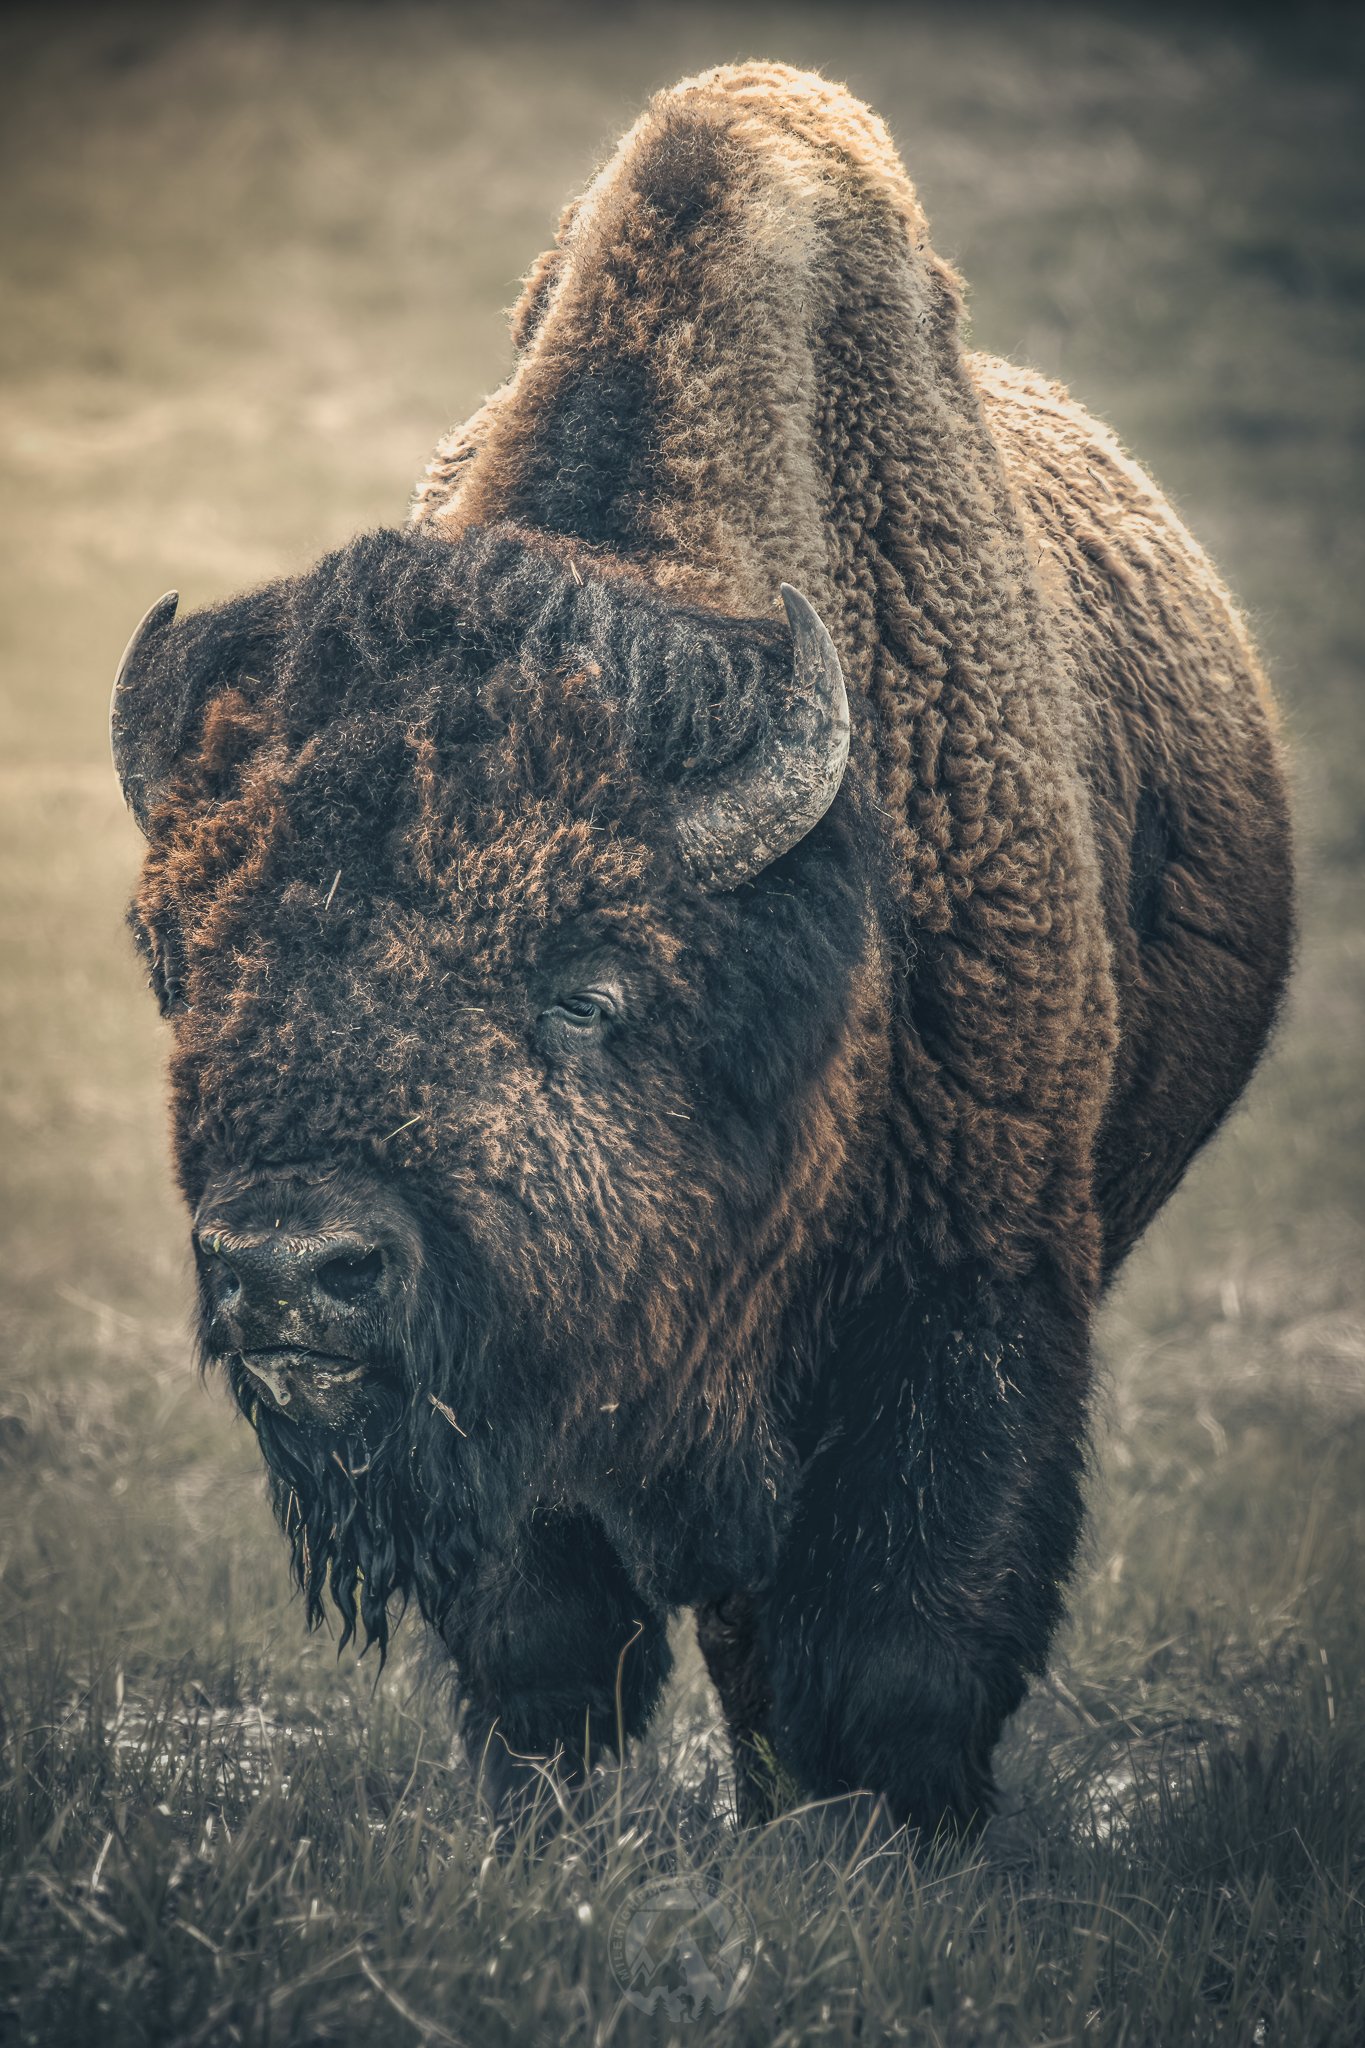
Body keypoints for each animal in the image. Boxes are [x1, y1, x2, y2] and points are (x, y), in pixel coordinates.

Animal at [110, 64, 1293, 1831]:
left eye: (590, 990)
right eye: (184, 967)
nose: (290, 1269)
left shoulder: (962, 1304)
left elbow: (896, 1635)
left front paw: (888, 1847)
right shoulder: (515, 1424)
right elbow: (547, 1650)